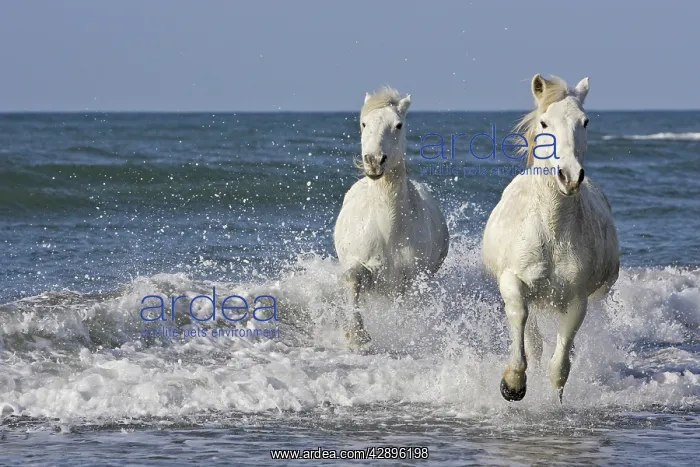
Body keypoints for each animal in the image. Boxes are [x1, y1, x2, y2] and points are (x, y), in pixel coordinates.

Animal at [333, 87, 450, 349]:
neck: (388, 230)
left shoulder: (411, 281)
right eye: (364, 123)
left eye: (398, 125)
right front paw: (357, 335)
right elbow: (353, 279)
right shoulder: (359, 264)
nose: (374, 161)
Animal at [482, 74, 619, 402]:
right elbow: (520, 318)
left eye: (585, 121)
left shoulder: (577, 299)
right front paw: (513, 384)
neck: (551, 229)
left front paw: (554, 401)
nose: (569, 176)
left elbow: (559, 364)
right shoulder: (512, 280)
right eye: (544, 122)